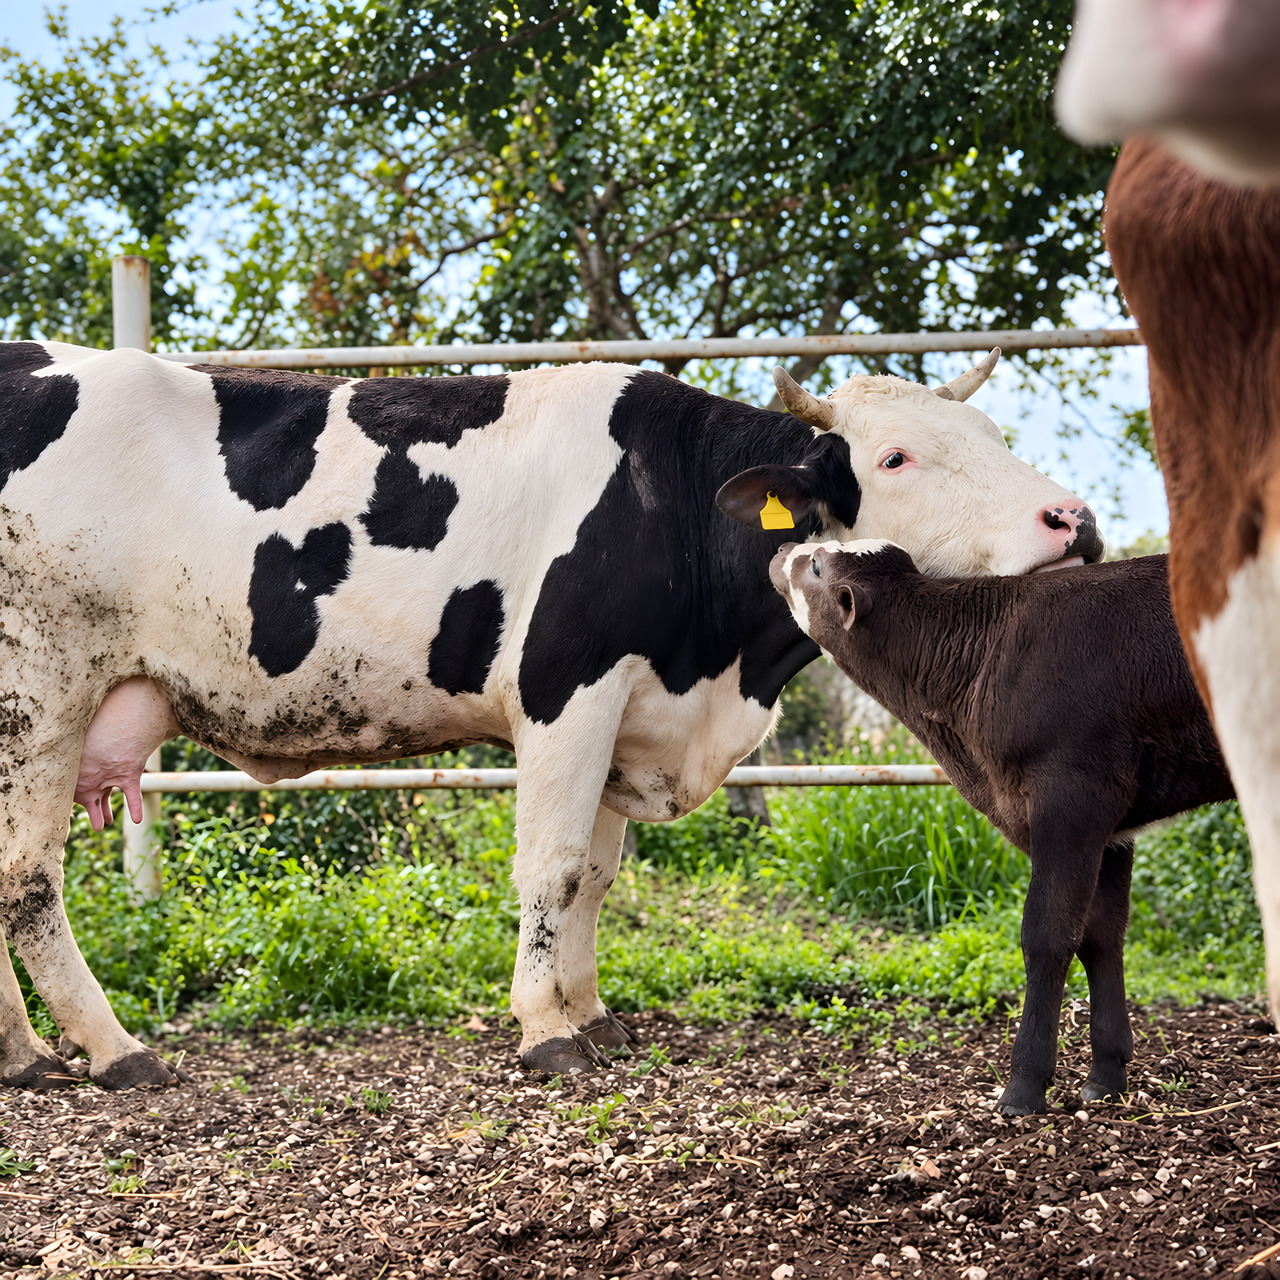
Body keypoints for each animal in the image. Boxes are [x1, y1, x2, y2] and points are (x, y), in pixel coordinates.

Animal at [0, 340, 1102, 1089]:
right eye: (897, 458)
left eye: (995, 437)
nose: (1073, 518)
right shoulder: (568, 689)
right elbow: (554, 865)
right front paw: (546, 1029)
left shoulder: (627, 714)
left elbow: (597, 877)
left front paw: (592, 1009)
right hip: (41, 688)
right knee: (27, 875)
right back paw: (111, 1048)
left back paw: (23, 1053)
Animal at [770, 539, 1233, 1115]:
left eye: (815, 566)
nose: (782, 546)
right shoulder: (1113, 829)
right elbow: (1102, 935)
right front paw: (1106, 1075)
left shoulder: (1074, 798)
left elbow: (1048, 934)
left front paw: (1025, 1085)